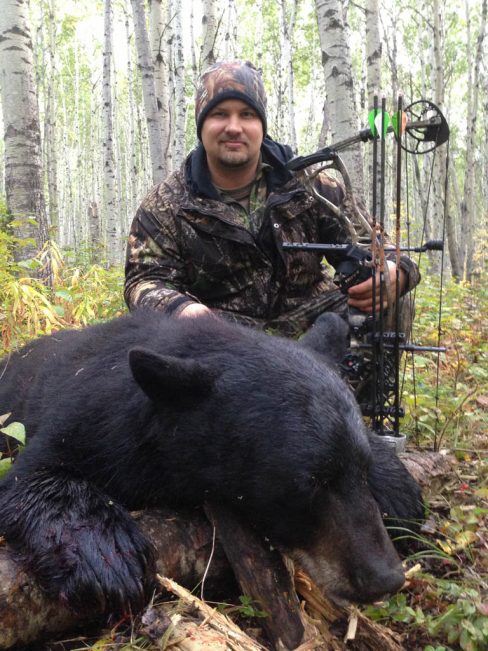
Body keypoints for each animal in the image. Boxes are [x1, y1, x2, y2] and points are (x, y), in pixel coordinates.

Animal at [0, 310, 423, 616]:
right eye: (308, 482)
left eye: (360, 470)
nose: (386, 577)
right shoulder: (93, 422)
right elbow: (34, 477)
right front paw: (105, 557)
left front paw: (399, 493)